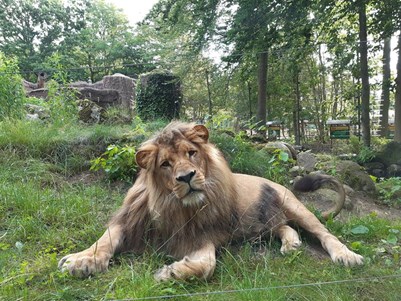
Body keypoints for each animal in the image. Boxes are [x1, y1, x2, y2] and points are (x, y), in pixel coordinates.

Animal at [58, 121, 362, 278]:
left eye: (191, 153)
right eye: (165, 164)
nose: (186, 177)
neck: (173, 205)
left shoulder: (202, 234)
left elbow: (207, 264)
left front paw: (172, 272)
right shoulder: (129, 220)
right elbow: (104, 240)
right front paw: (83, 261)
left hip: (295, 206)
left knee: (324, 233)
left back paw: (347, 255)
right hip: (265, 223)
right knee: (284, 227)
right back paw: (291, 244)